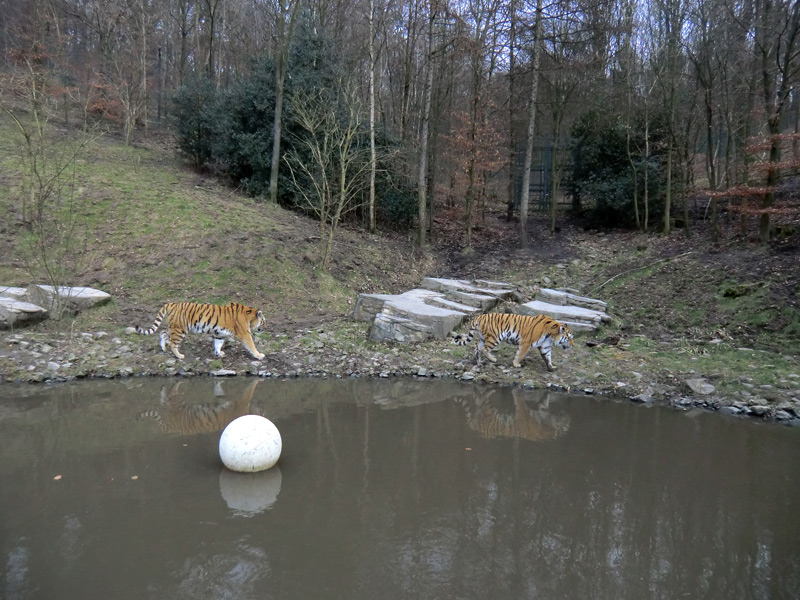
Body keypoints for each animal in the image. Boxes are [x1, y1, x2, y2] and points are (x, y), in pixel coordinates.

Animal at [133, 302, 268, 358]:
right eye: (263, 321)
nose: (266, 328)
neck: (248, 315)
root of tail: (173, 303)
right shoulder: (244, 333)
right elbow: (251, 345)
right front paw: (259, 355)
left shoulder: (220, 334)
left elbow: (218, 344)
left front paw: (219, 353)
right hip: (180, 330)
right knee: (172, 343)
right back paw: (179, 356)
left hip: (174, 327)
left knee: (162, 333)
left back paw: (163, 348)